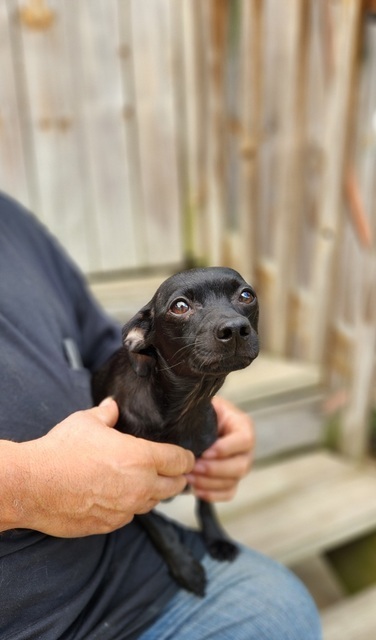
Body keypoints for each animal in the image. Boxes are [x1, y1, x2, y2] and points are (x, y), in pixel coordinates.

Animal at [92, 264, 260, 596]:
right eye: (180, 306)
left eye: (246, 295)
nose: (235, 328)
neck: (185, 409)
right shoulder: (133, 488)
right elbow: (160, 530)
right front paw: (185, 568)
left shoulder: (206, 462)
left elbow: (206, 505)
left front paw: (217, 539)